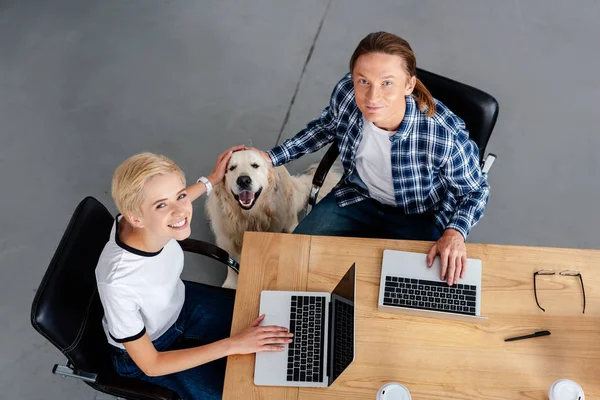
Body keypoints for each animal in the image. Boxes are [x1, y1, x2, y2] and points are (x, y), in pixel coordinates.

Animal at [206, 149, 340, 288]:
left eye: (255, 165)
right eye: (232, 168)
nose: (243, 180)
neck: (248, 217)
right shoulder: (226, 239)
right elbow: (231, 265)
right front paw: (231, 283)